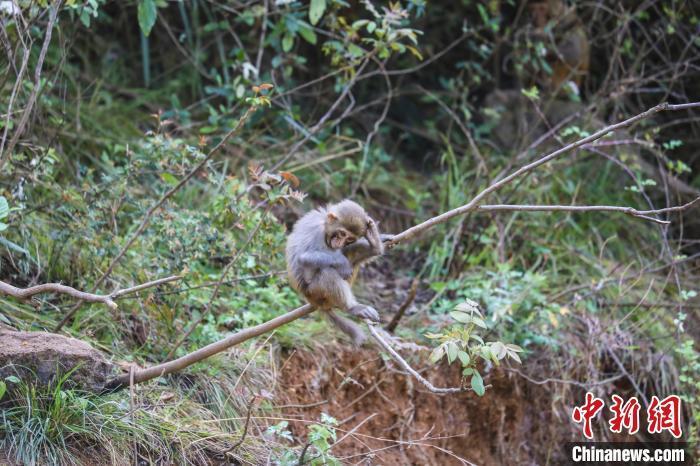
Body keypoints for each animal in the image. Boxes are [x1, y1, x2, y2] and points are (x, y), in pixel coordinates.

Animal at [288, 198, 388, 344]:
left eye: (349, 239)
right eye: (341, 233)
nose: (340, 242)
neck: (325, 225)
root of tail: (310, 299)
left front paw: (375, 235)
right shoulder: (317, 233)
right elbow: (303, 258)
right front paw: (343, 264)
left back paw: (375, 246)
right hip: (314, 291)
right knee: (327, 273)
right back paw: (351, 307)